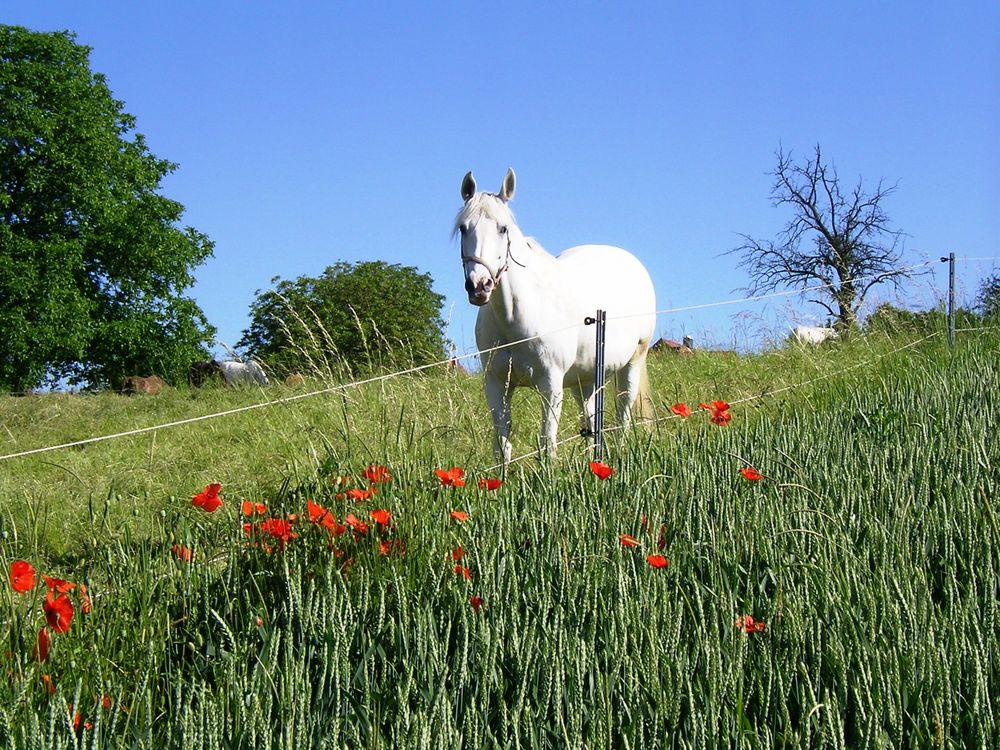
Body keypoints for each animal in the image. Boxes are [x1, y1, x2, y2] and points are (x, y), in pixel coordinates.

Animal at [458, 169, 660, 464]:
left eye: (503, 228)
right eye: (463, 228)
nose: (479, 286)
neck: (516, 319)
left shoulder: (550, 385)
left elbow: (547, 442)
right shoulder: (495, 384)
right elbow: (502, 445)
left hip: (632, 362)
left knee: (623, 413)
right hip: (584, 379)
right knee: (591, 421)